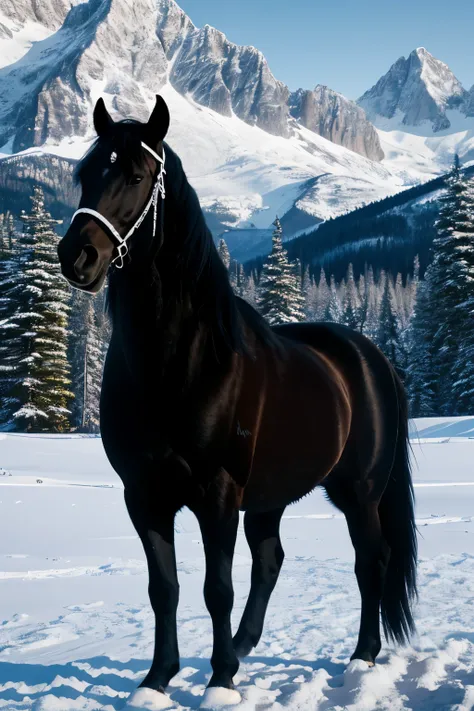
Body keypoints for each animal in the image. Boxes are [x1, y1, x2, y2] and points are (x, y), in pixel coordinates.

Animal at [57, 96, 416, 711]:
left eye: (136, 176)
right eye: (84, 174)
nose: (77, 255)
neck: (180, 361)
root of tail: (371, 357)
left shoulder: (217, 494)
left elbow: (215, 588)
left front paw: (220, 679)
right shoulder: (144, 496)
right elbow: (164, 588)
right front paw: (157, 679)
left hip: (358, 491)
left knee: (371, 562)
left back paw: (361, 655)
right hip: (272, 496)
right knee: (271, 561)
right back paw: (248, 645)